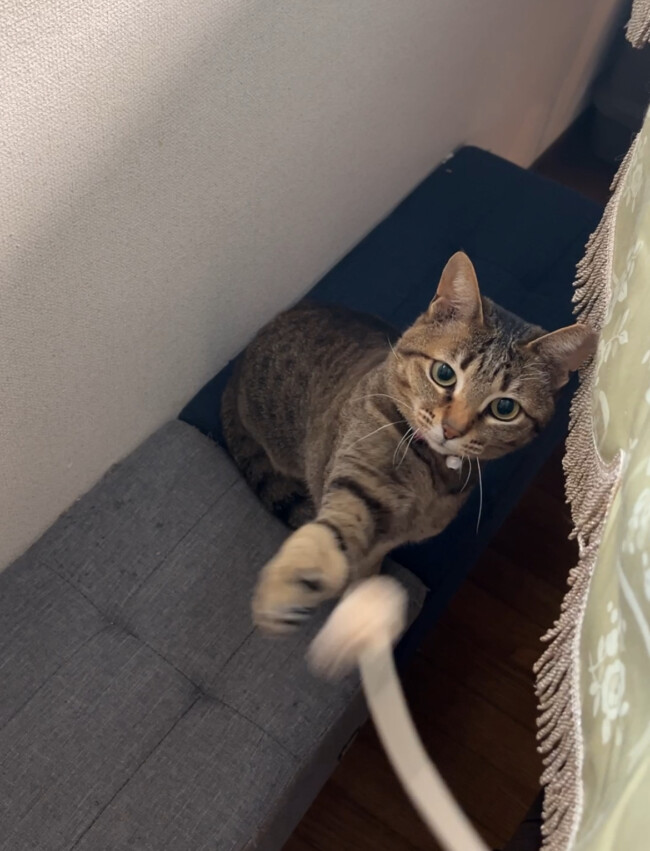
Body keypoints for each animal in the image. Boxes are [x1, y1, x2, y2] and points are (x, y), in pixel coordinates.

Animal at [221, 252, 596, 633]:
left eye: (504, 408)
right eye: (444, 374)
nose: (452, 430)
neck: (432, 478)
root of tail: (234, 373)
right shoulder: (360, 477)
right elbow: (333, 532)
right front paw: (294, 580)